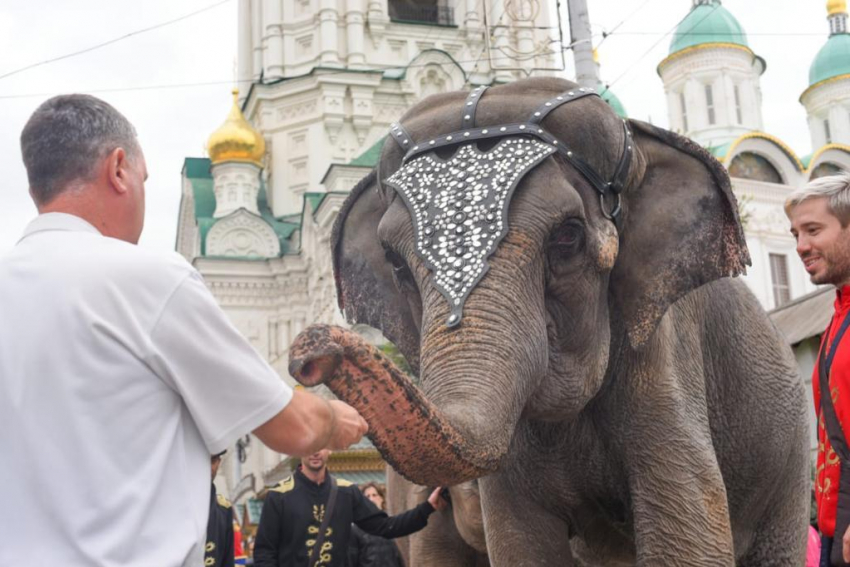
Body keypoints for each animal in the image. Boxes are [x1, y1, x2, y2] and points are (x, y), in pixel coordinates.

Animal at [292, 77, 808, 564]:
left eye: (567, 237)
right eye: (396, 263)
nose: (310, 350)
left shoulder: (665, 355)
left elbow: (689, 537)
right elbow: (520, 542)